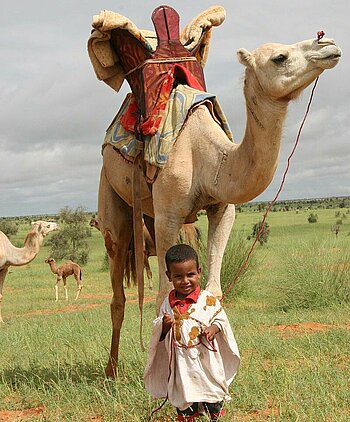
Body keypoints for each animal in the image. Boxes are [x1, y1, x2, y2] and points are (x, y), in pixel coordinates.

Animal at [88, 10, 342, 376]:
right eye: (280, 57)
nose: (330, 44)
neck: (208, 157)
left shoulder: (223, 207)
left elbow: (213, 291)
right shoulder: (168, 215)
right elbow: (163, 295)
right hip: (111, 199)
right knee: (118, 287)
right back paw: (111, 370)